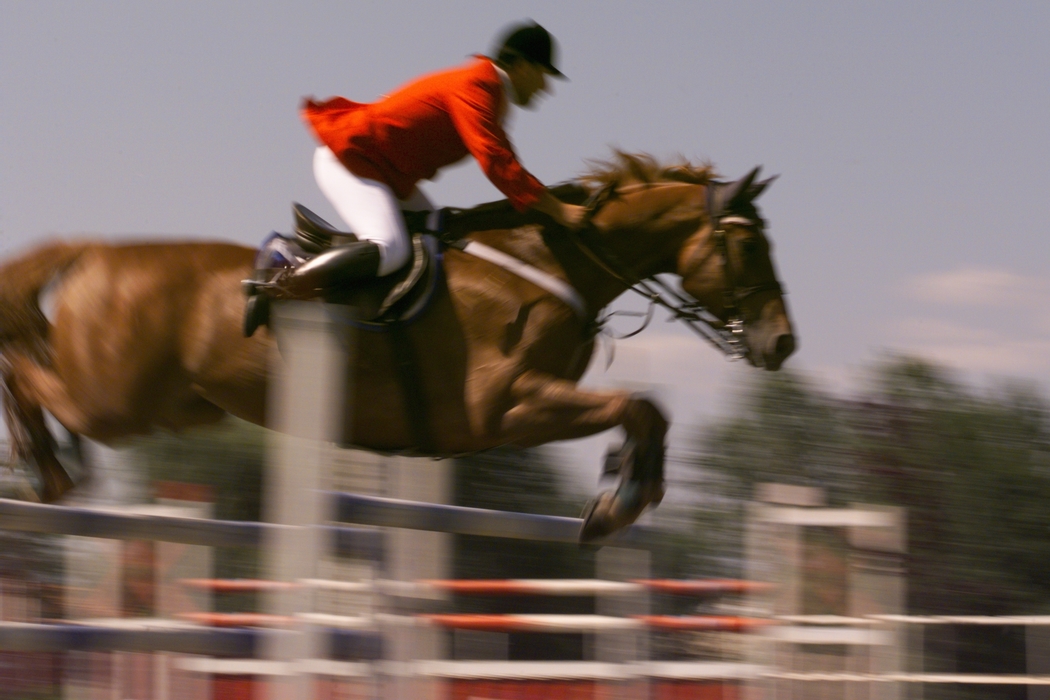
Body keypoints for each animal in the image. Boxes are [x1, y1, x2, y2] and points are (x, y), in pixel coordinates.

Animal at [0, 154, 789, 541]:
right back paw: (47, 468)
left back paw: (55, 468)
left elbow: (647, 410)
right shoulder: (504, 410)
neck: (550, 262)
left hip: (176, 405)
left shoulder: (514, 415)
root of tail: (95, 253)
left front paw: (623, 493)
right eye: (750, 245)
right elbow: (639, 406)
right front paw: (617, 504)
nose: (782, 342)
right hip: (116, 400)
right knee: (26, 372)